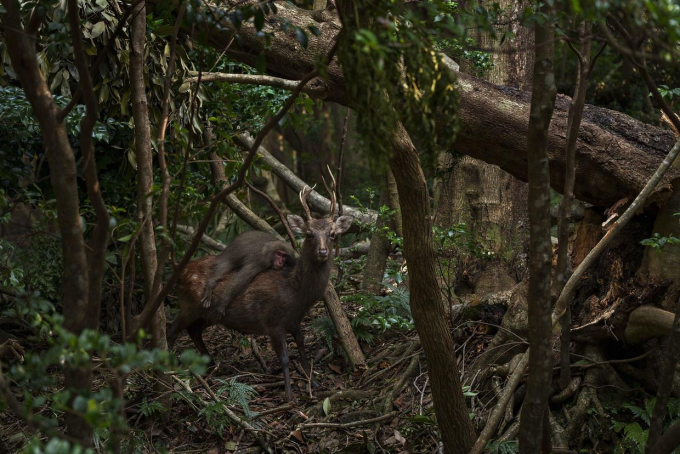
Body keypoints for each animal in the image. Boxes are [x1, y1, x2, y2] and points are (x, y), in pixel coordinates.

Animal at [167, 177, 354, 400]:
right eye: (309, 234)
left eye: (332, 234)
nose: (323, 251)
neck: (295, 295)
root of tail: (178, 275)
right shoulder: (272, 322)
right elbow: (284, 358)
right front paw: (289, 395)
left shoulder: (295, 320)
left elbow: (303, 350)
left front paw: (314, 383)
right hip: (188, 305)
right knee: (171, 330)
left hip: (208, 314)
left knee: (194, 330)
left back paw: (211, 364)